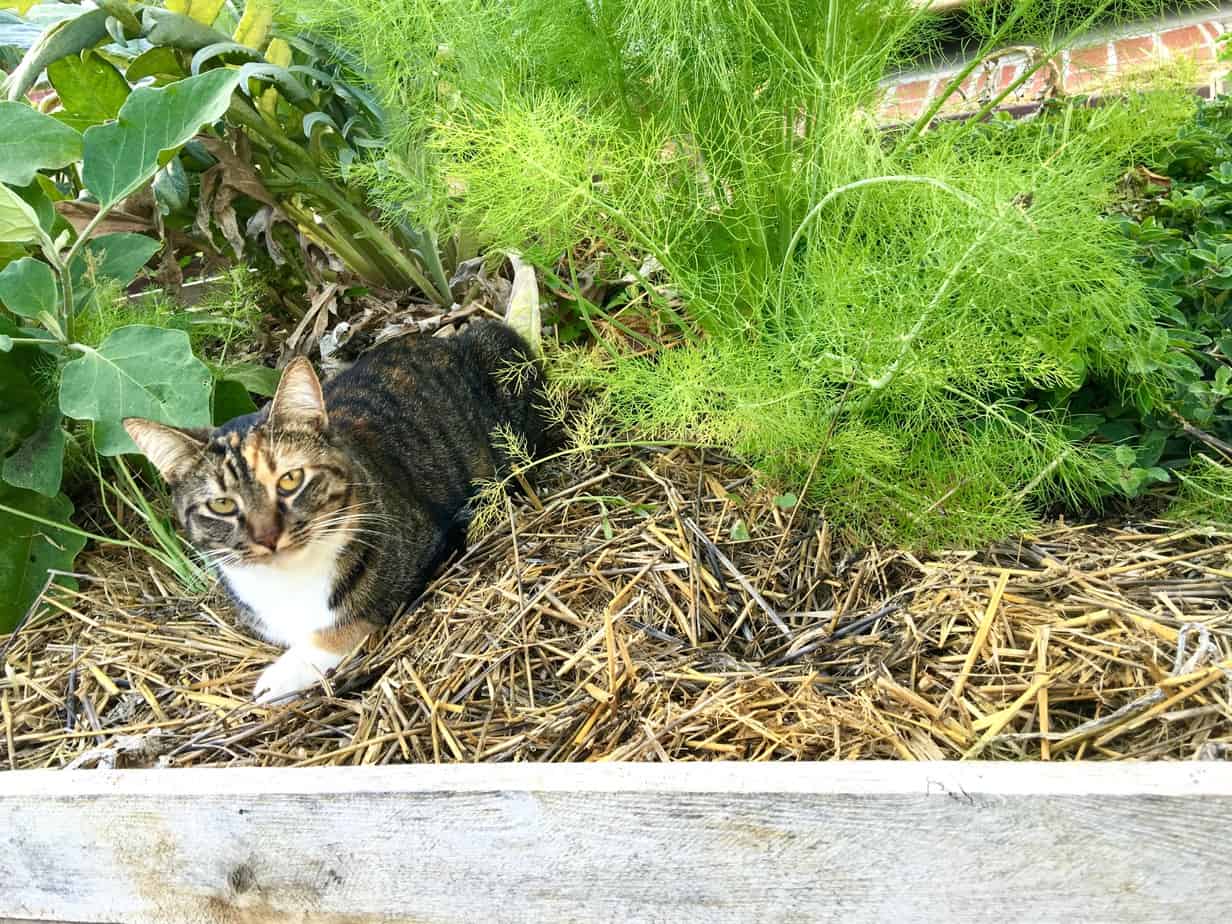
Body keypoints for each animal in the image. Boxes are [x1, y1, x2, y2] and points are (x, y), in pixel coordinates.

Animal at [125, 322, 549, 704]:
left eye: (290, 480)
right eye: (223, 504)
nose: (267, 538)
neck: (289, 582)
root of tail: (447, 338)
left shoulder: (425, 549)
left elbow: (350, 620)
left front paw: (282, 675)